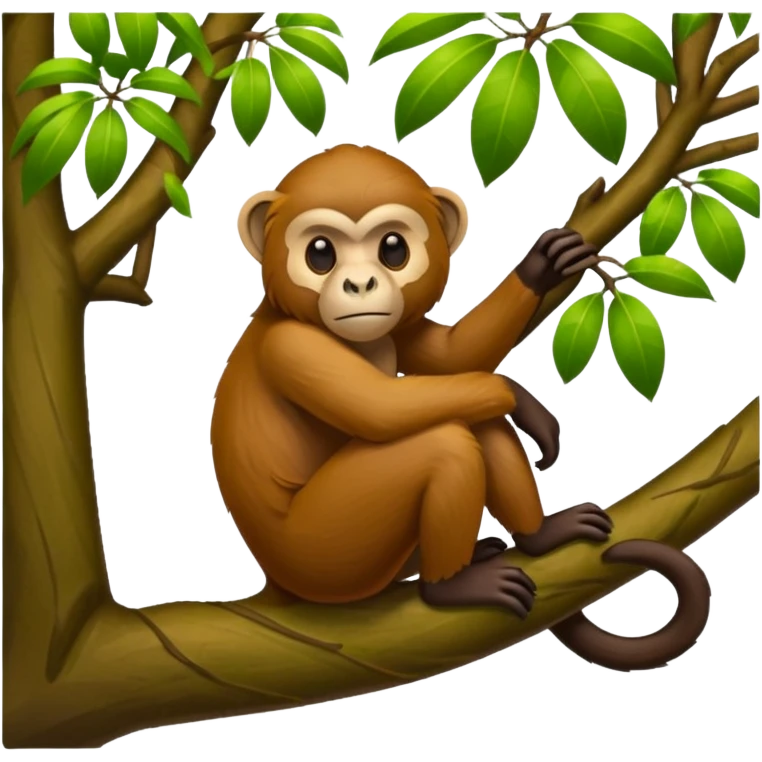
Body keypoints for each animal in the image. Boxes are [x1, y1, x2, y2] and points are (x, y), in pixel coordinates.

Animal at [210, 144, 711, 672]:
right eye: (320, 253)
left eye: (393, 249)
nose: (361, 284)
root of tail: (278, 583)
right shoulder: (293, 347)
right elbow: (382, 411)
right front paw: (518, 394)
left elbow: (452, 357)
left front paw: (542, 268)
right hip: (325, 554)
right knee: (442, 441)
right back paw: (448, 588)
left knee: (471, 419)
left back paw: (537, 538)